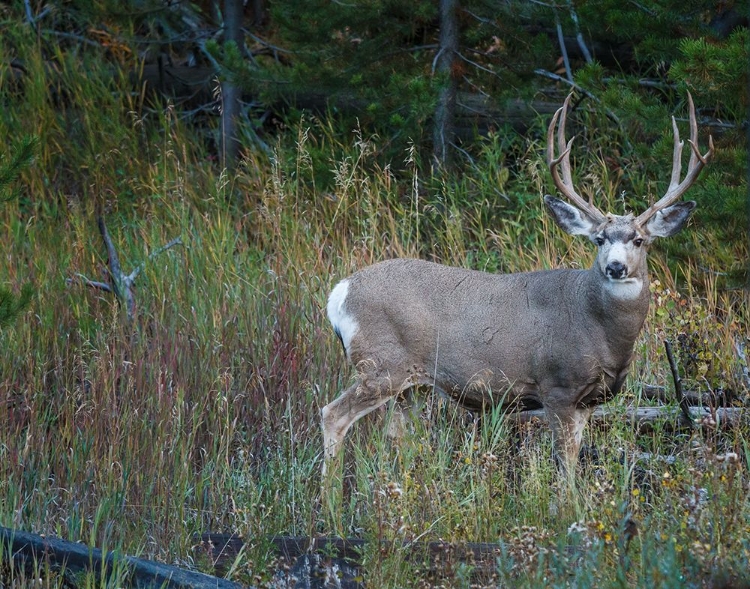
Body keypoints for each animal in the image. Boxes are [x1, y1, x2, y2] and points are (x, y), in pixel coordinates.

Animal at [320, 92, 712, 478]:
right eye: (598, 239)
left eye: (639, 240)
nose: (615, 267)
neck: (599, 329)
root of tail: (340, 292)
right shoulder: (556, 387)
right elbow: (566, 471)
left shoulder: (588, 400)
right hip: (381, 364)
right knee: (332, 414)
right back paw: (331, 496)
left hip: (409, 385)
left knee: (393, 438)